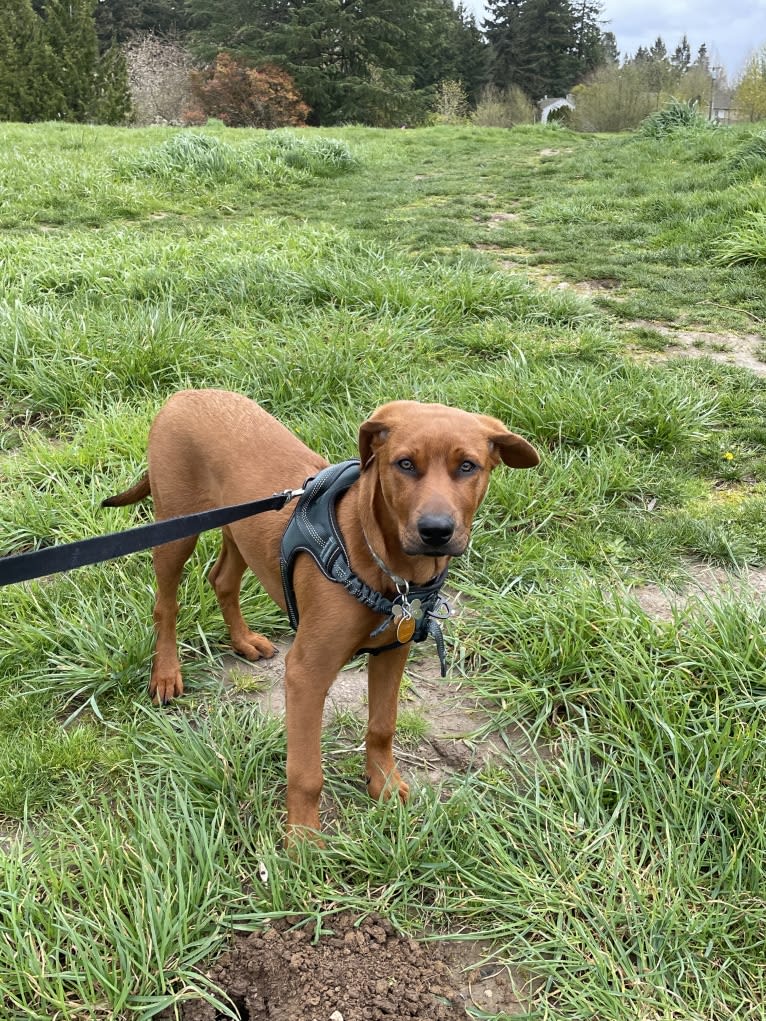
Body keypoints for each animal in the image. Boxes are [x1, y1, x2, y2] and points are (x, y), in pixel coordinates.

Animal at [105, 390, 539, 837]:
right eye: (405, 464)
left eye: (468, 466)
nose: (436, 531)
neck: (388, 570)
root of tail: (185, 393)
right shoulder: (307, 673)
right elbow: (306, 773)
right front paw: (303, 840)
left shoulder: (392, 653)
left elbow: (382, 726)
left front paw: (383, 784)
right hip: (175, 528)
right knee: (166, 604)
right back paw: (166, 674)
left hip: (240, 528)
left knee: (222, 579)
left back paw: (244, 641)